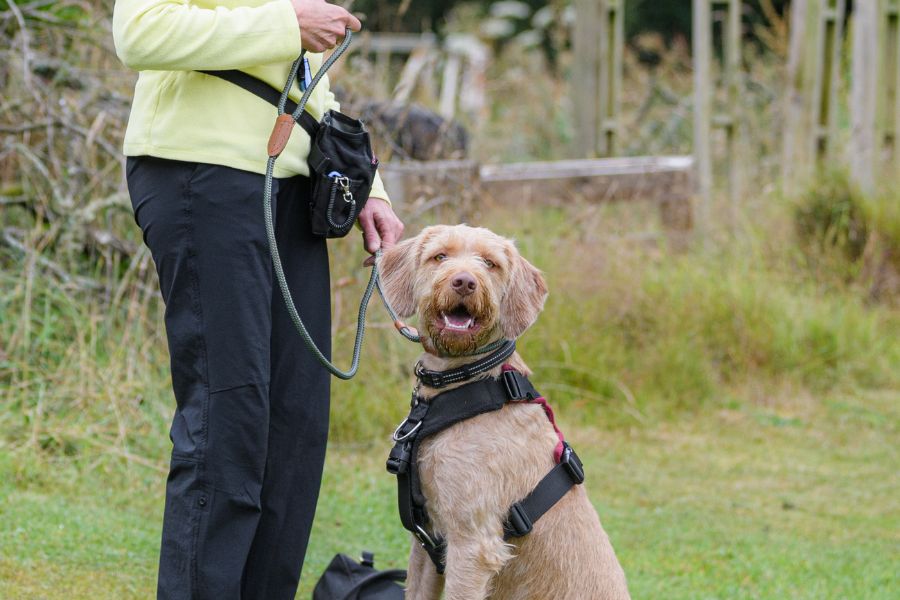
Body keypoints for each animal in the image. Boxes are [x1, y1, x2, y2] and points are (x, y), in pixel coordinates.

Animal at [376, 226, 628, 600]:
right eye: (440, 256)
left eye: (490, 263)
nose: (465, 282)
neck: (466, 380)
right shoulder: (426, 542)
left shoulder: (472, 544)